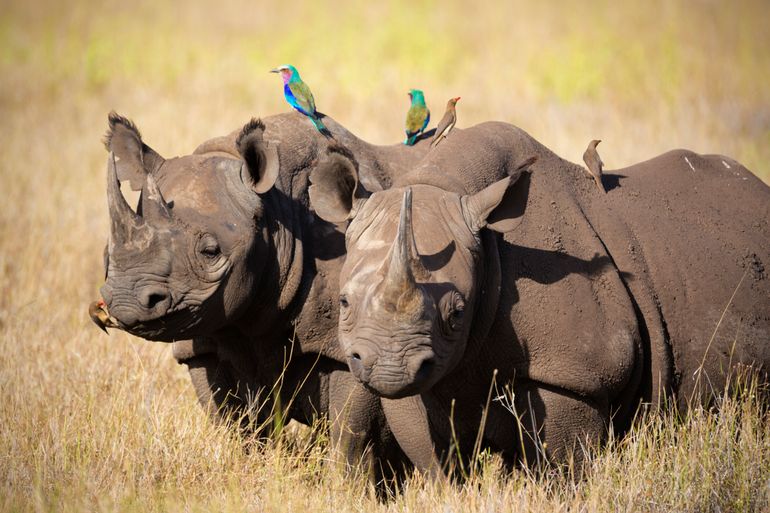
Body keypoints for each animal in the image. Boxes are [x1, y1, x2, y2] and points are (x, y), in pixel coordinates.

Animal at [93, 112, 432, 480]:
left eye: (210, 252)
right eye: (106, 255)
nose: (125, 300)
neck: (276, 211)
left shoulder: (355, 344)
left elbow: (352, 434)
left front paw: (346, 486)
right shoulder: (204, 344)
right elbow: (235, 426)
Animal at [308, 121, 768, 472]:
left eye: (457, 313)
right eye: (344, 303)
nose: (390, 368)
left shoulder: (576, 374)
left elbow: (563, 469)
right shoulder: (417, 380)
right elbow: (437, 464)